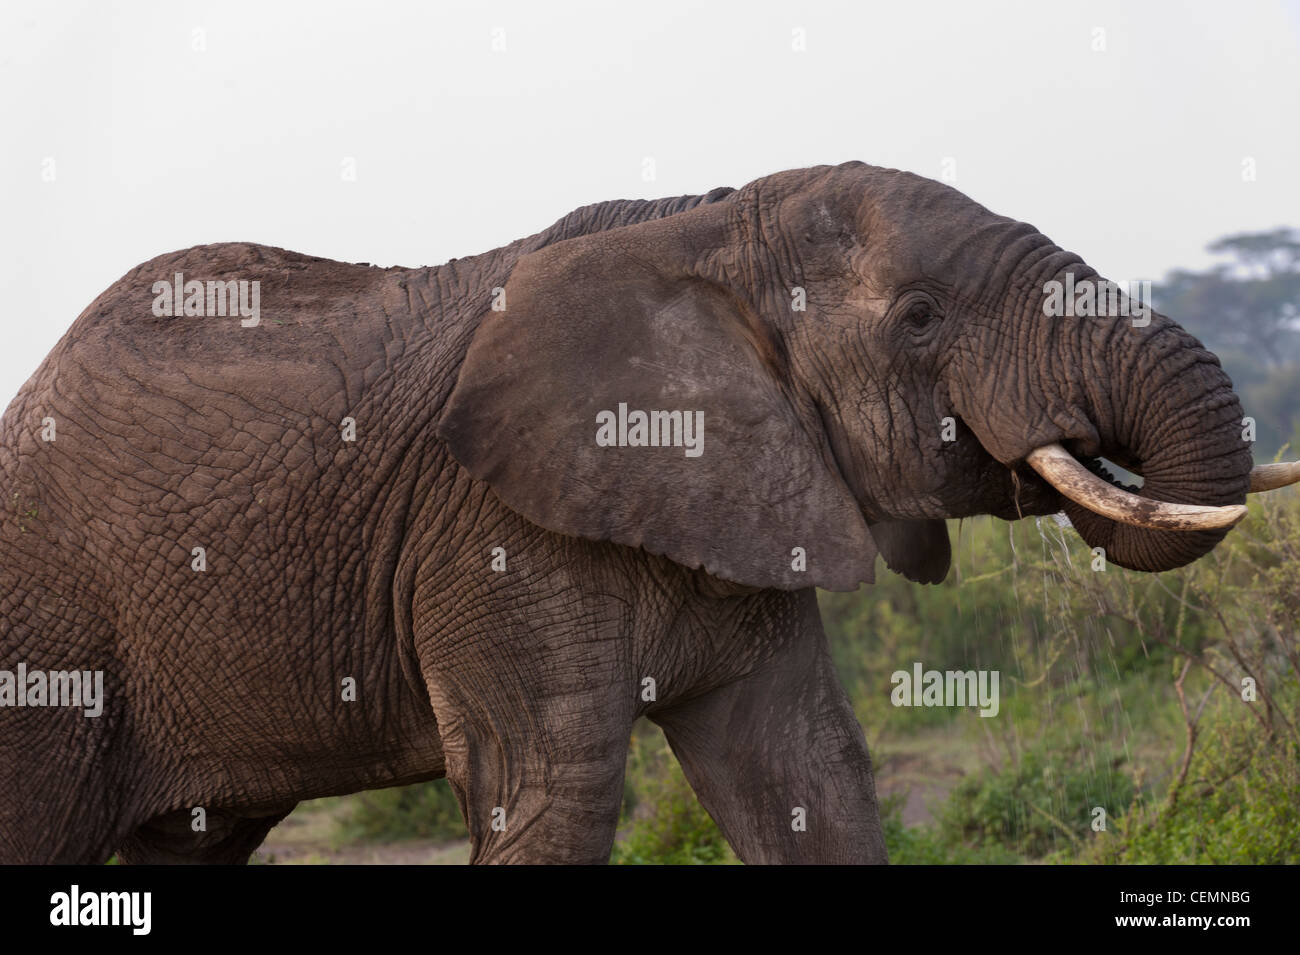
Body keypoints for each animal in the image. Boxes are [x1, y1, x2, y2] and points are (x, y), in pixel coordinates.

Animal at [2, 164, 1300, 867]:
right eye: (921, 317)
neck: (709, 225)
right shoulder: (493, 530)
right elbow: (555, 792)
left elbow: (807, 768)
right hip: (49, 633)